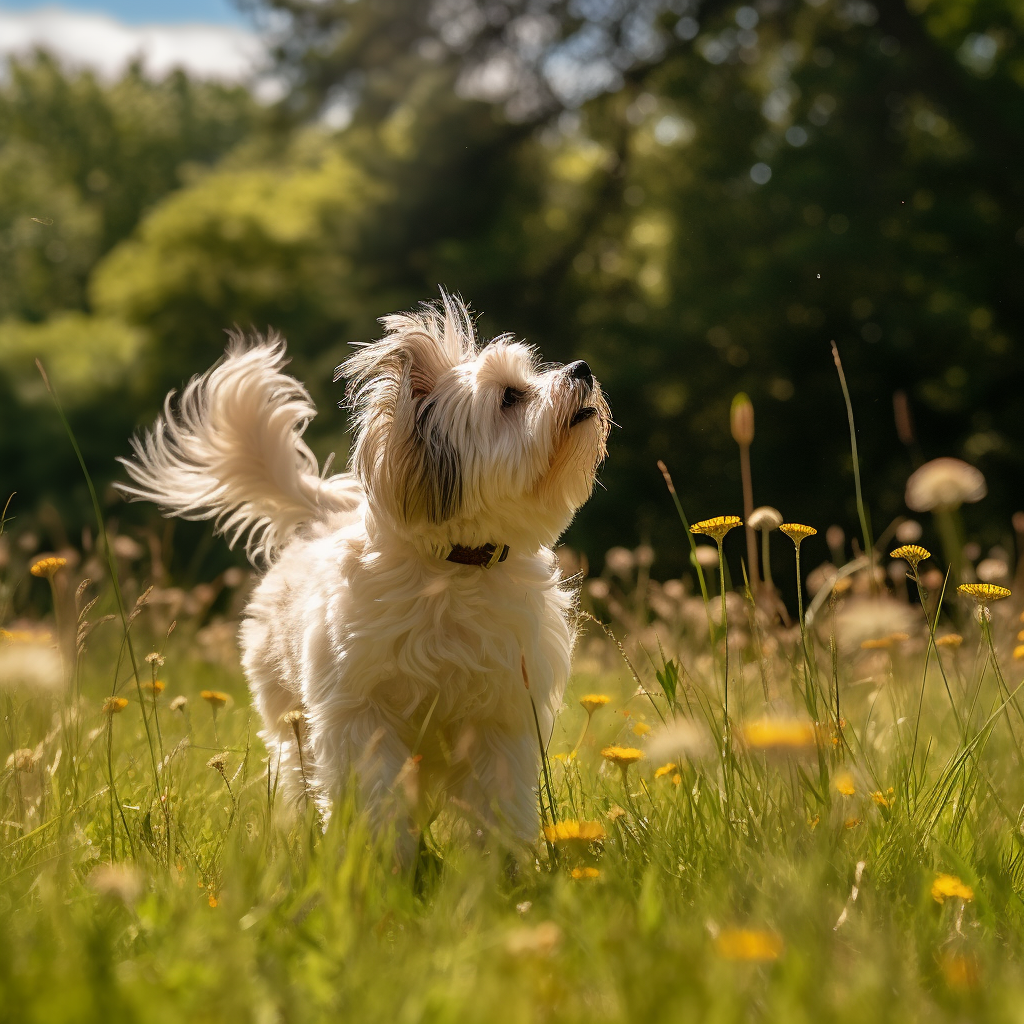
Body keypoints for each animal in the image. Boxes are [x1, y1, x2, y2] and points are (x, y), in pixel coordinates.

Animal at [123, 292, 610, 851]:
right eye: (511, 396)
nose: (582, 367)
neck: (455, 567)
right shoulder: (359, 714)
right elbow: (374, 792)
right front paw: (377, 858)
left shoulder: (500, 716)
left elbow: (498, 802)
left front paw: (499, 864)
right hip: (289, 719)